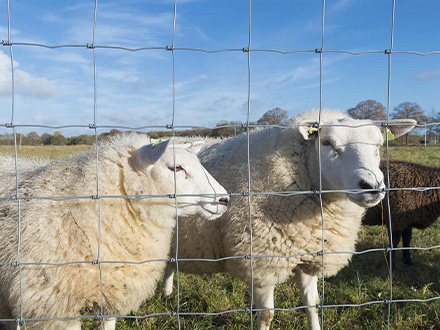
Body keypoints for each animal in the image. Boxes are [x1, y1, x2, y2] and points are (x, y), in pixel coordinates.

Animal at [162, 110, 416, 330]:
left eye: (379, 146)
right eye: (327, 143)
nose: (372, 186)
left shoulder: (310, 255)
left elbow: (312, 305)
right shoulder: (262, 263)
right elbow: (266, 315)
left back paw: (166, 293)